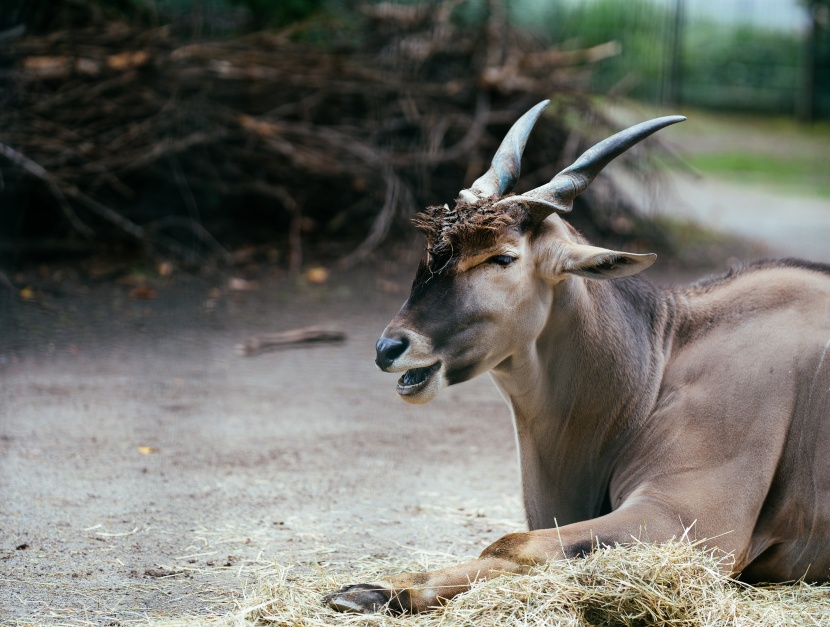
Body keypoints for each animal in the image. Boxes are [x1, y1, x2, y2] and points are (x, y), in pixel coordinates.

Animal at [324, 102, 830, 612]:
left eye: (502, 258)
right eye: (431, 250)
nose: (389, 348)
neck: (659, 362)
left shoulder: (690, 522)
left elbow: (511, 544)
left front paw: (383, 588)